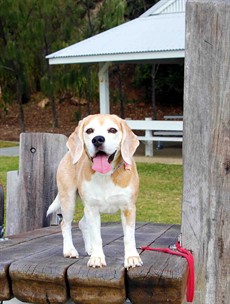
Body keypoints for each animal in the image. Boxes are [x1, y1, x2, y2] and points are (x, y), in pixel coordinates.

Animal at [47, 114, 142, 268]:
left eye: (112, 130)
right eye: (89, 130)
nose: (97, 139)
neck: (106, 174)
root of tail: (68, 154)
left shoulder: (128, 208)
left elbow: (129, 237)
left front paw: (132, 257)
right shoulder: (92, 209)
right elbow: (97, 237)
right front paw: (97, 258)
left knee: (82, 224)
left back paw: (89, 248)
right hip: (68, 200)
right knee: (65, 224)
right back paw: (70, 250)